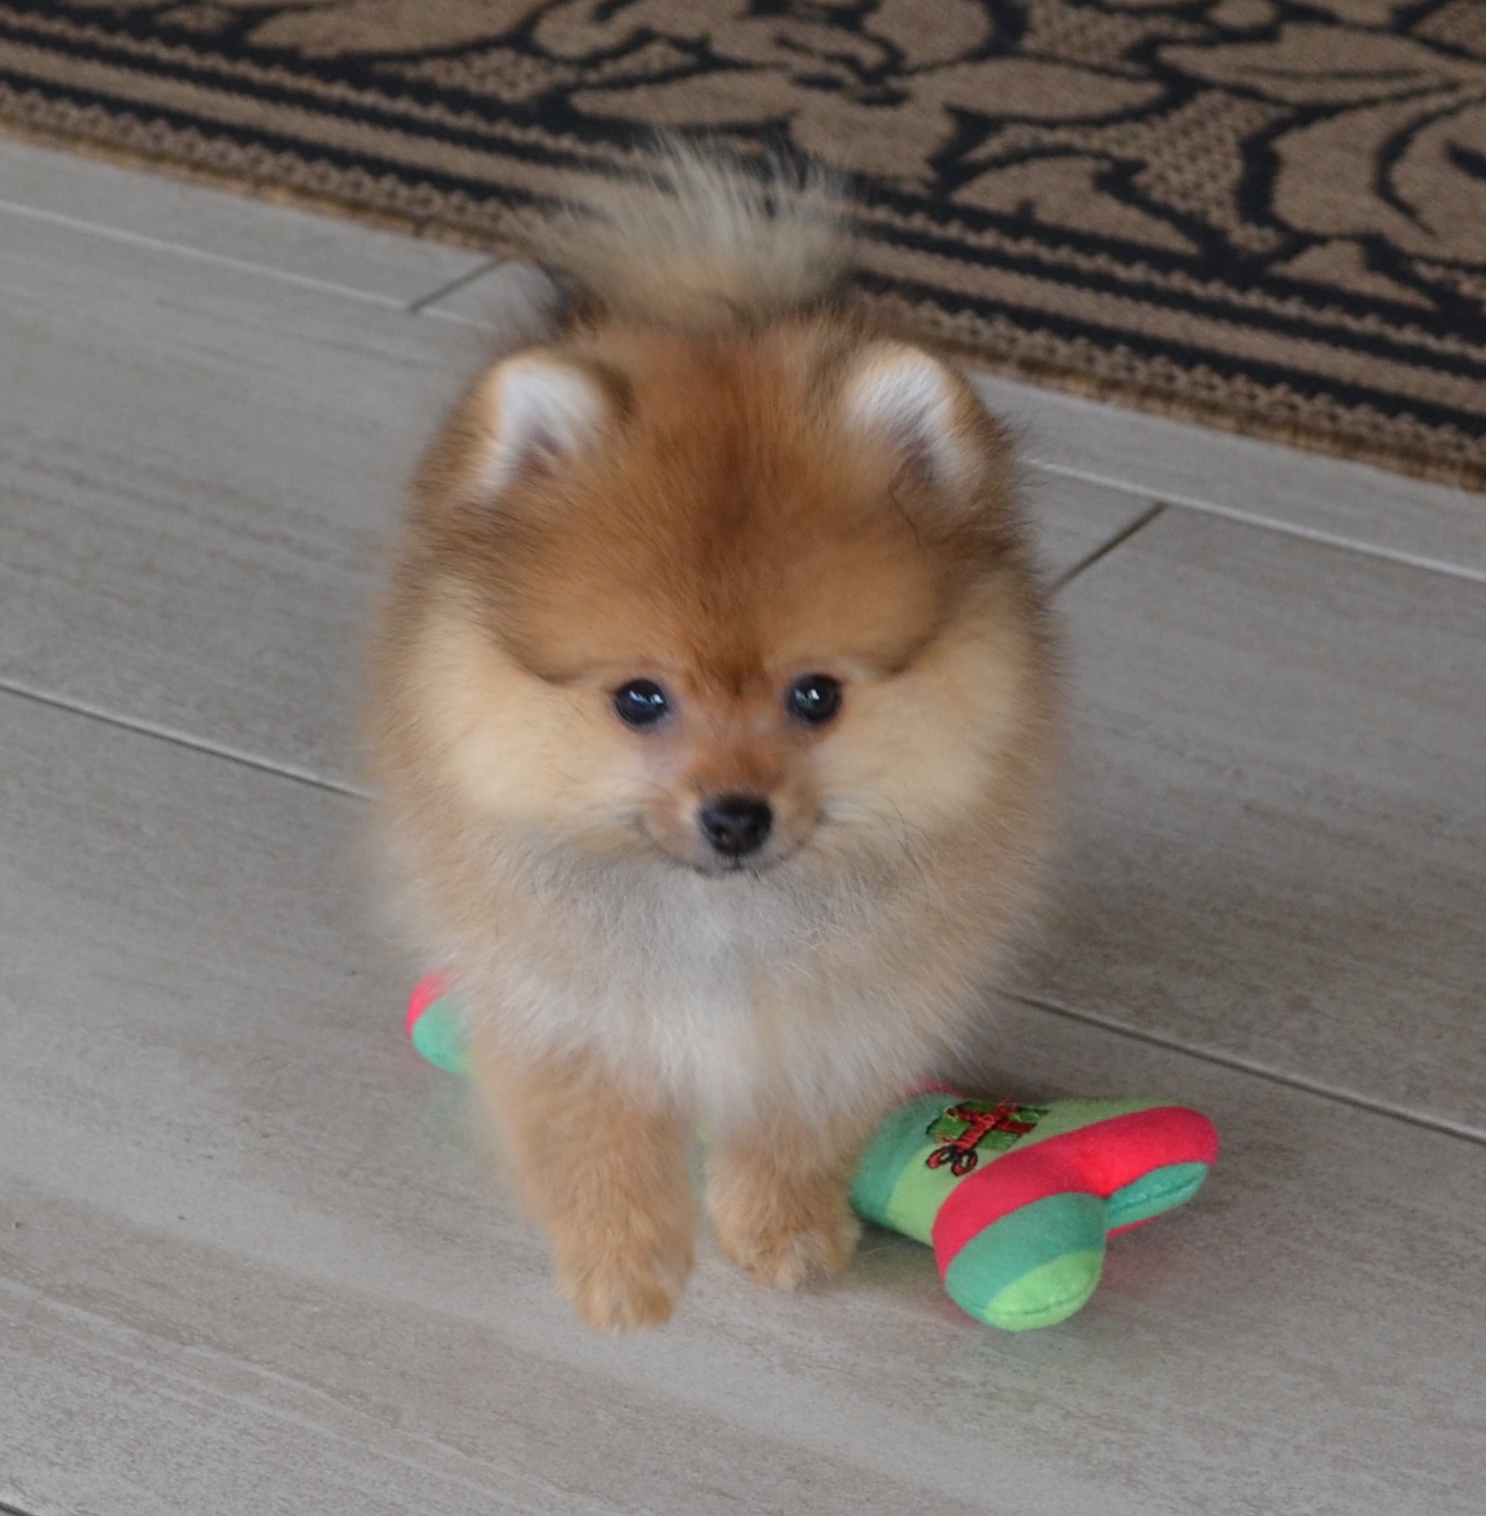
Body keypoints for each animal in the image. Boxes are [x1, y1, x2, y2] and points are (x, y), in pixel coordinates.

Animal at [367, 145, 1063, 1331]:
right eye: (640, 700)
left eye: (816, 695)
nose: (735, 815)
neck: (718, 922)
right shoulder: (561, 998)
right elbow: (591, 1132)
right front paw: (623, 1264)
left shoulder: (840, 1013)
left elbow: (795, 1126)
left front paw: (782, 1230)